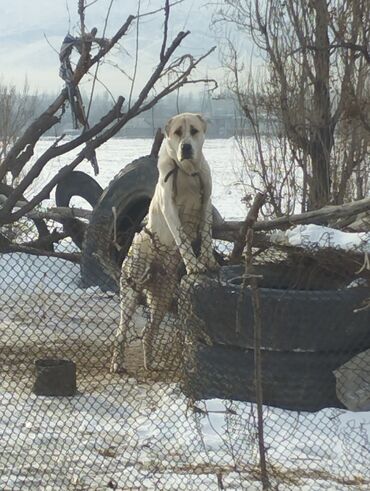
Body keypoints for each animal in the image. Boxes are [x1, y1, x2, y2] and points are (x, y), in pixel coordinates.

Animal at [111, 111, 218, 372]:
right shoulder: (170, 209)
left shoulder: (207, 203)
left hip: (163, 296)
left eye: (194, 131)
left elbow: (206, 234)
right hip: (131, 293)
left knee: (149, 331)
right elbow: (182, 237)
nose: (186, 147)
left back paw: (150, 363)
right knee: (120, 332)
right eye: (178, 132)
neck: (187, 171)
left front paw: (208, 260)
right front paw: (194, 265)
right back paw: (118, 363)